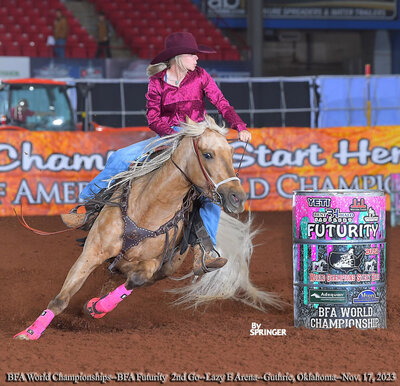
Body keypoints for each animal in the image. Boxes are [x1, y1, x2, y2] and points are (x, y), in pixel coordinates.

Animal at [13, 115, 282, 340]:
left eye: (231, 152)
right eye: (208, 154)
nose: (237, 197)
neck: (149, 207)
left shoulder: (152, 263)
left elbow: (136, 280)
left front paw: (96, 307)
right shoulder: (93, 251)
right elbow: (61, 299)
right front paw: (29, 333)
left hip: (169, 266)